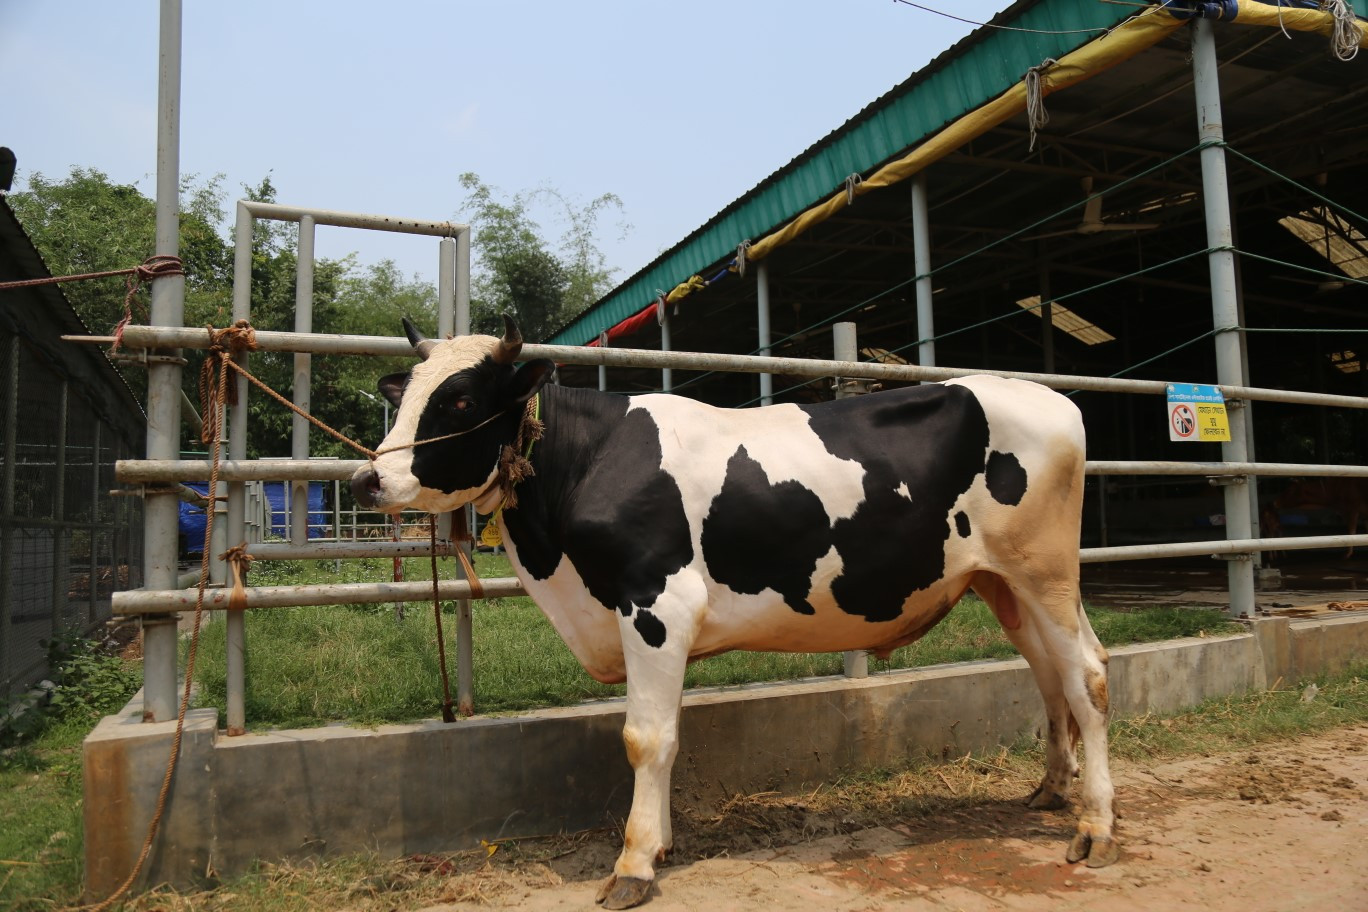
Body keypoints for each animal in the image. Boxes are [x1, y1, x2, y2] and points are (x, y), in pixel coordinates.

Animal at [349, 317, 1118, 909]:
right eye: (406, 393)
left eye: (458, 401)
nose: (367, 479)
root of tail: (1051, 399)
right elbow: (666, 734)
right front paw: (659, 844)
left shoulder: (656, 604)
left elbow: (646, 737)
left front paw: (633, 865)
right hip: (1003, 583)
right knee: (1050, 676)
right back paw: (1052, 792)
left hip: (1045, 571)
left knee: (1088, 674)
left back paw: (1098, 828)